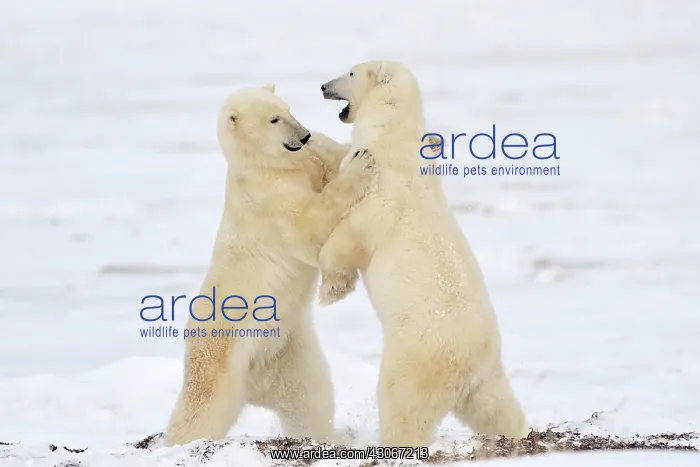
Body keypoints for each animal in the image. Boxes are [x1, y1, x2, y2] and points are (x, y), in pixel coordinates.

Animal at [163, 83, 376, 447]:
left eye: (288, 109)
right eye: (274, 119)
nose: (304, 135)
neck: (266, 168)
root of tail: (255, 386)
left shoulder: (303, 166)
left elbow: (325, 163)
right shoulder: (270, 203)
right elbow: (310, 225)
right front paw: (359, 165)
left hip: (287, 353)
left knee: (310, 400)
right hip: (223, 355)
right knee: (201, 410)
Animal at [317, 61, 530, 446]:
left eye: (351, 72)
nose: (324, 86)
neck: (393, 137)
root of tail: (467, 367)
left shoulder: (382, 195)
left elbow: (350, 237)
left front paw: (332, 291)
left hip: (416, 355)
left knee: (402, 404)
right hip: (486, 374)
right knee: (497, 407)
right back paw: (522, 434)